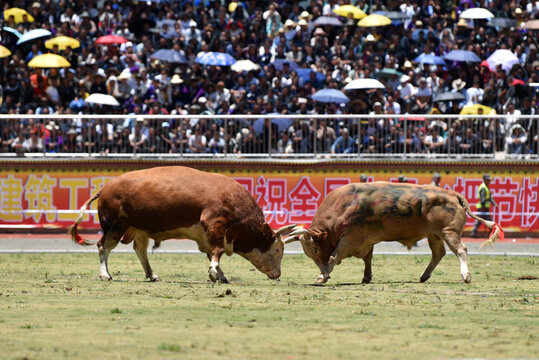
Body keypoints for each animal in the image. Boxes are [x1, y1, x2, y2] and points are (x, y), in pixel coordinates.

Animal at [68, 166, 296, 282]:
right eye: (277, 250)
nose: (278, 274)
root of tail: (106, 188)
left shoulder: (207, 235)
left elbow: (212, 252)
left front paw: (220, 274)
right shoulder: (213, 223)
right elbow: (218, 251)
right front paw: (215, 272)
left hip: (139, 229)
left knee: (140, 250)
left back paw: (151, 274)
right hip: (115, 225)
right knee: (103, 247)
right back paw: (104, 274)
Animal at [286, 183, 502, 284]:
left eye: (315, 248)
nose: (321, 268)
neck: (344, 206)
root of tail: (452, 194)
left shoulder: (349, 239)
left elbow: (333, 256)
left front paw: (323, 276)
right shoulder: (366, 241)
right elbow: (368, 259)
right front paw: (366, 277)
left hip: (449, 232)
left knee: (461, 250)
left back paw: (465, 275)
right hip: (434, 235)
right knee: (438, 253)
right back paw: (424, 276)